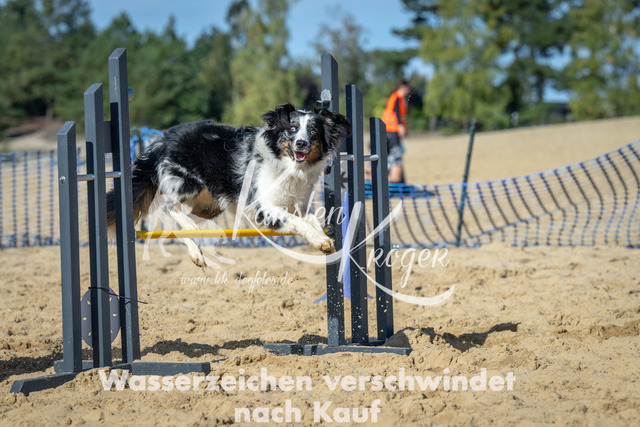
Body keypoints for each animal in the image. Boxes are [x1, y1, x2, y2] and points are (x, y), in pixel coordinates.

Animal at [106, 103, 351, 267]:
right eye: (291, 128)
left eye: (313, 131)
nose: (301, 143)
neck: (288, 167)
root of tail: (162, 140)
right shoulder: (263, 208)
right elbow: (297, 222)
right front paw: (319, 240)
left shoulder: (298, 205)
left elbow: (311, 220)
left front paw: (324, 240)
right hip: (188, 182)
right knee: (169, 208)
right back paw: (191, 231)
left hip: (210, 205)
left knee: (179, 225)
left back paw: (196, 253)